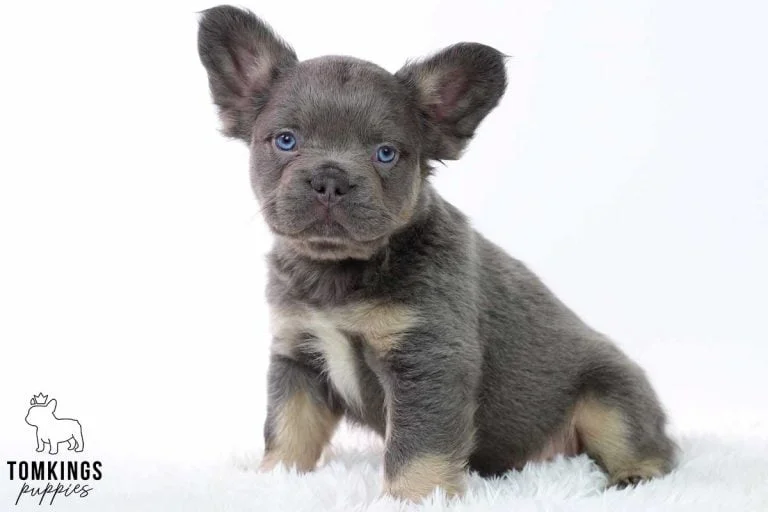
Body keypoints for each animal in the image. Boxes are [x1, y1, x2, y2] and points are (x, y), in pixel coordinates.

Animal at [198, 6, 680, 502]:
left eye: (386, 154)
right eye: (286, 141)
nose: (330, 179)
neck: (340, 271)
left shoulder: (426, 364)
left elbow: (416, 448)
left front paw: (413, 498)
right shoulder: (299, 360)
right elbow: (288, 429)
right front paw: (276, 480)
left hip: (609, 398)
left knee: (646, 445)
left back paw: (633, 476)